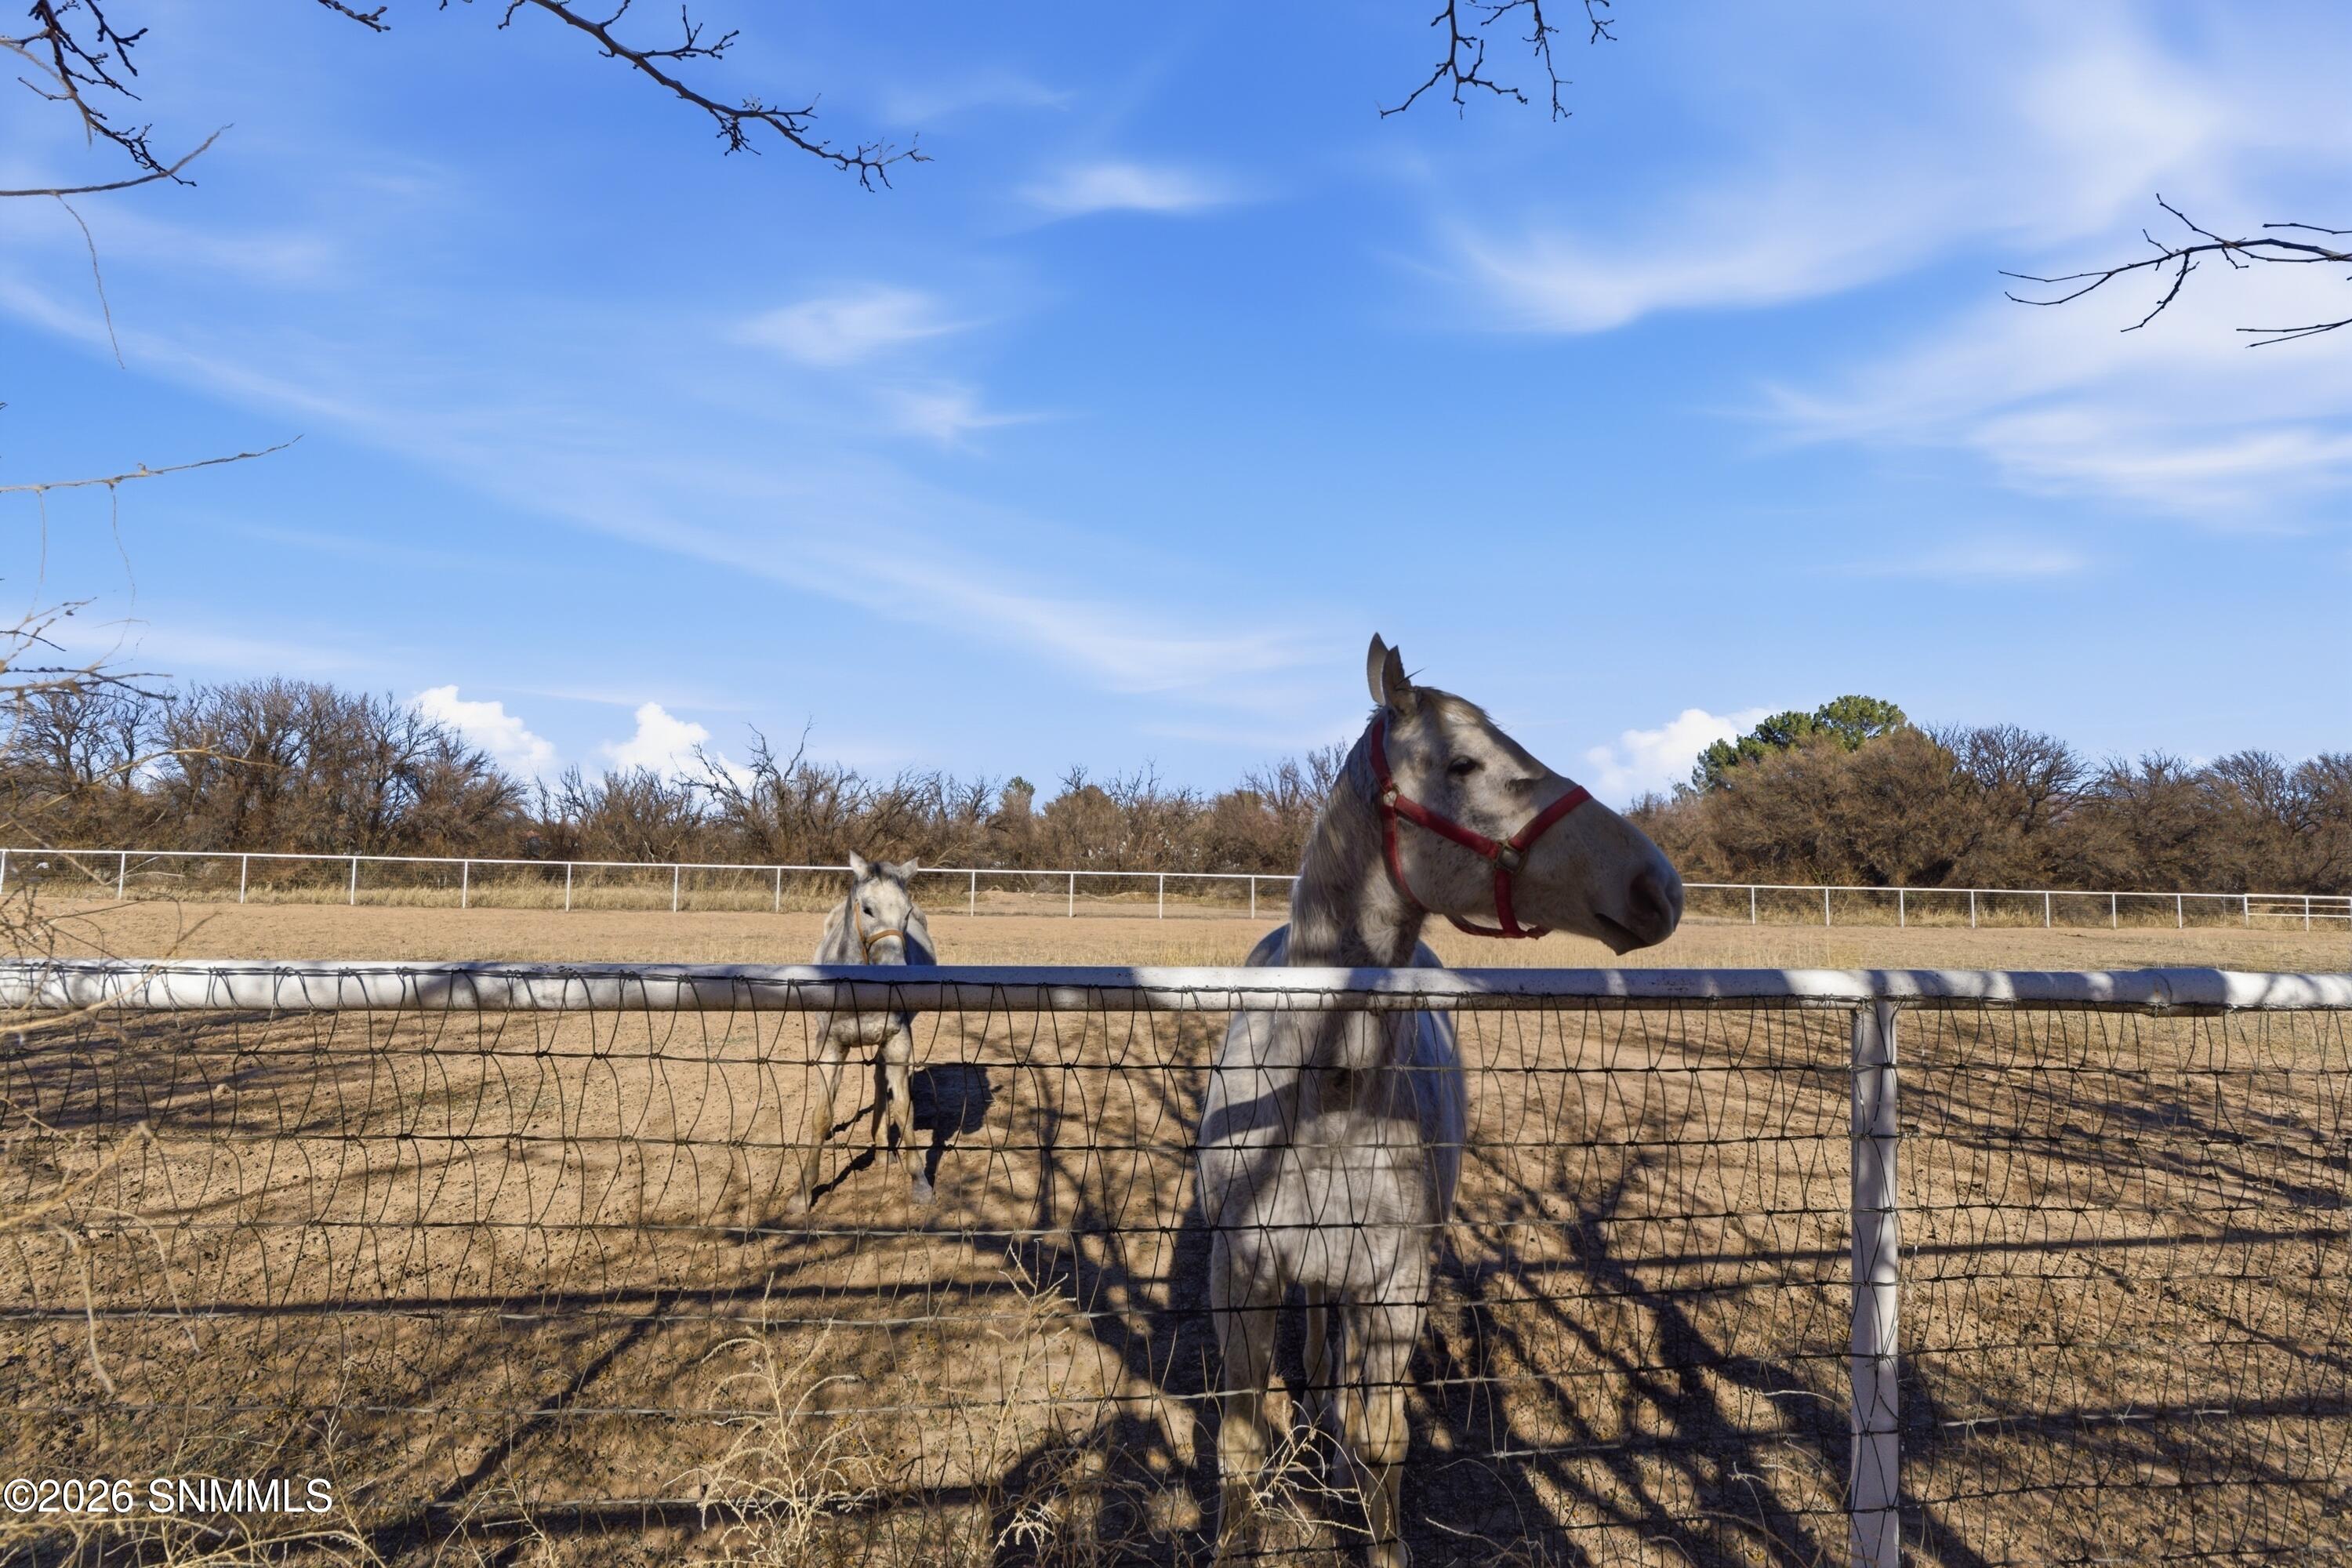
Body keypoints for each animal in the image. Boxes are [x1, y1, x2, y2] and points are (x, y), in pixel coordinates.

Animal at [788, 852, 937, 1214]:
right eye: (867, 909)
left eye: (907, 912)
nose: (900, 975)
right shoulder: (830, 1047)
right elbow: (821, 1116)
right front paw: (803, 1192)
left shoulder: (898, 1041)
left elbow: (904, 1109)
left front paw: (919, 1182)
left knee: (881, 1080)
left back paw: (883, 1147)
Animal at [1197, 635, 1683, 1567]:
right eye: (1463, 762)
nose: (1659, 886)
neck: (1328, 1096)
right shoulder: (1241, 1276)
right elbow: (1236, 1448)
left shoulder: (1395, 1284)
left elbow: (1383, 1443)